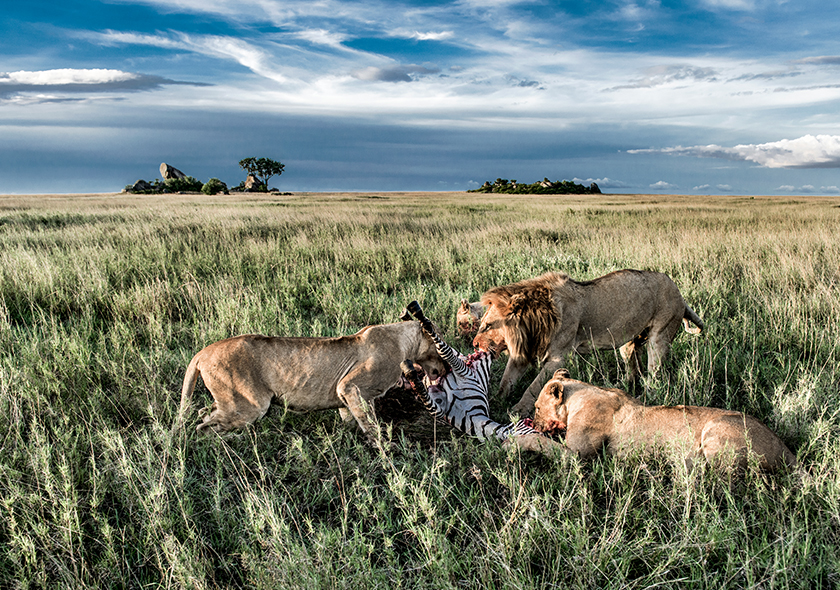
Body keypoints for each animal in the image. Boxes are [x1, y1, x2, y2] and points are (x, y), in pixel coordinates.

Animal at [172, 322, 446, 442]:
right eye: (439, 345)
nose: (446, 368)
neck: (403, 340)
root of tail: (202, 352)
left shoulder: (345, 396)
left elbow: (352, 419)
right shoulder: (350, 386)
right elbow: (370, 424)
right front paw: (383, 449)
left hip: (229, 402)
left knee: (203, 411)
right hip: (249, 406)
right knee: (203, 427)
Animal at [472, 272, 704, 416]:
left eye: (488, 325)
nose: (473, 345)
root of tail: (679, 292)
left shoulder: (559, 357)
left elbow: (533, 386)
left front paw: (518, 410)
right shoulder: (523, 352)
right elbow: (507, 380)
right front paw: (495, 401)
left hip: (660, 337)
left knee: (655, 374)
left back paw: (646, 396)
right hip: (628, 341)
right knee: (633, 364)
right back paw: (624, 385)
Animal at [536, 372, 796, 474]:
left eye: (537, 408)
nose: (535, 420)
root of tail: (786, 450)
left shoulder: (578, 455)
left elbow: (542, 444)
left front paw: (525, 438)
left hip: (716, 431)